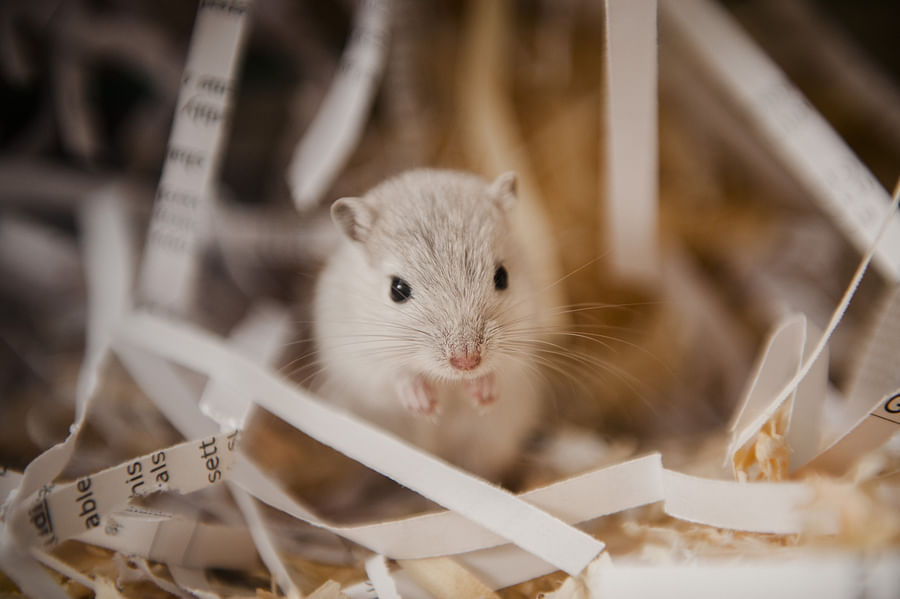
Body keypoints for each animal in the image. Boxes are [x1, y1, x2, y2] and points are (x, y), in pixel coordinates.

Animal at [312, 168, 553, 481]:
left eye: (502, 276)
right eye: (397, 290)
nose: (466, 362)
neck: (448, 382)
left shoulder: (521, 341)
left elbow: (501, 370)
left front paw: (483, 397)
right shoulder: (361, 360)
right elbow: (397, 374)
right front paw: (426, 408)